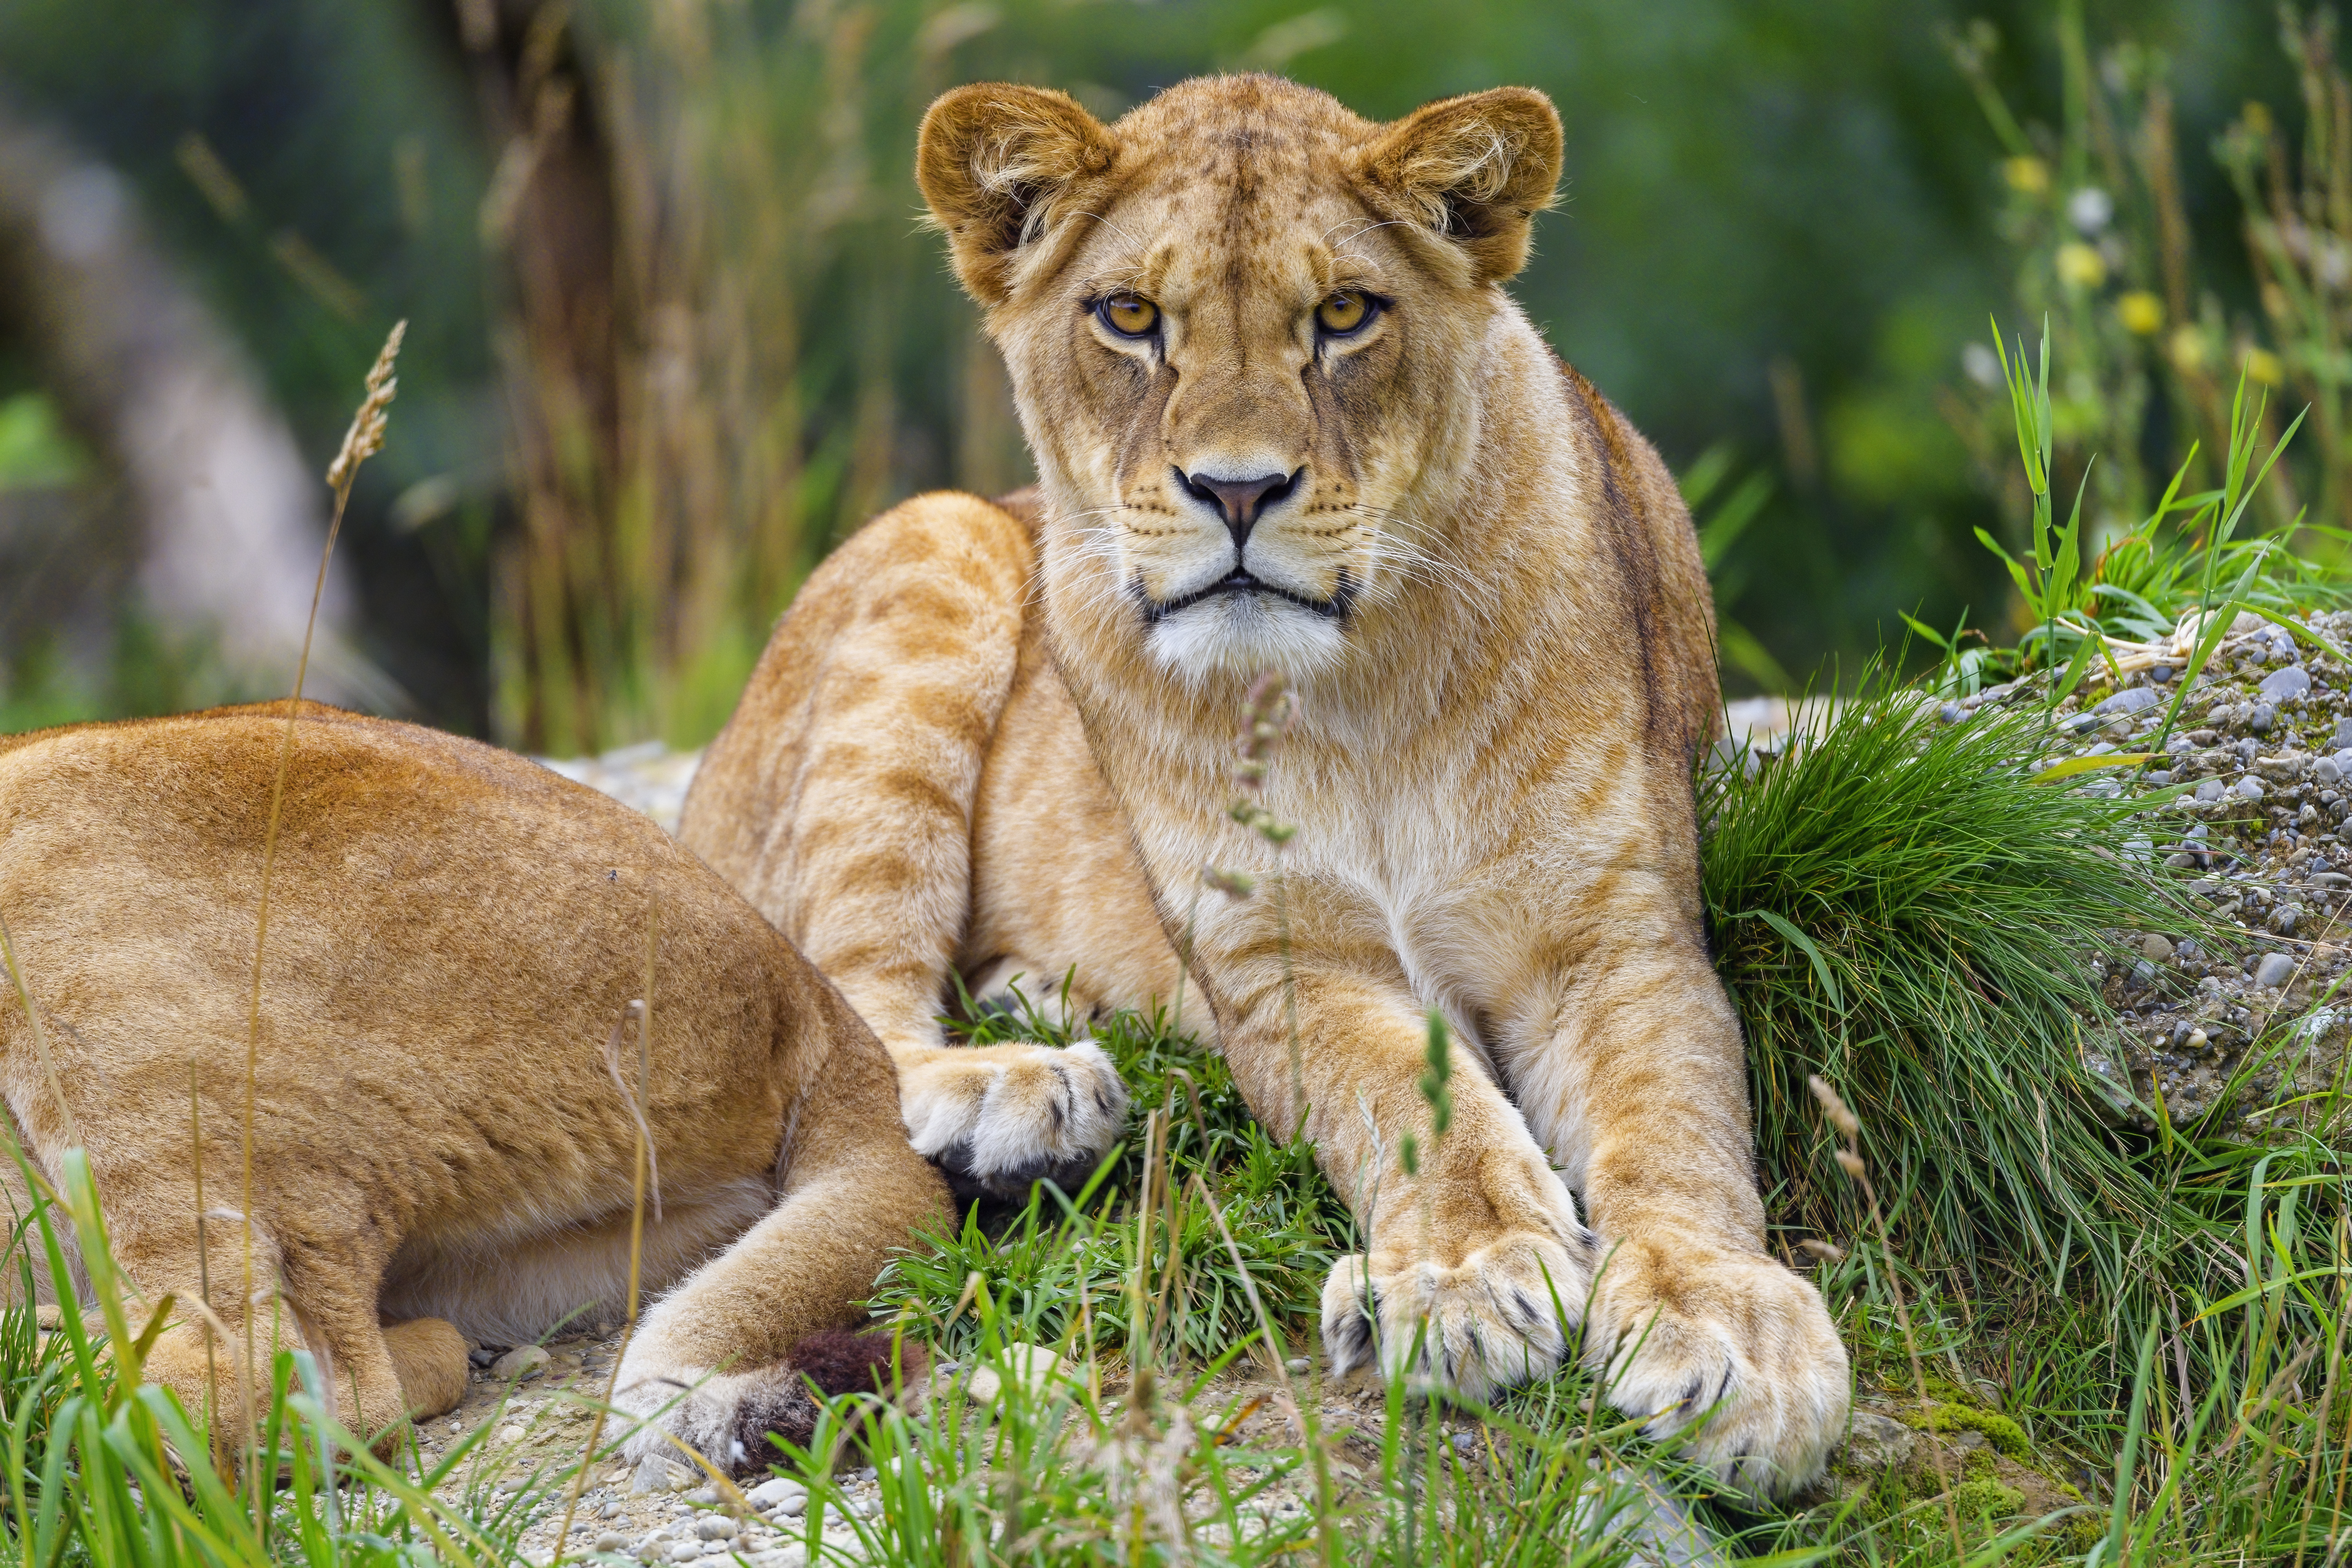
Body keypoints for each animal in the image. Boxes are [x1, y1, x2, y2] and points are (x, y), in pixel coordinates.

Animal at [687, 76, 1853, 1495]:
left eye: (1344, 315)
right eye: (1131, 317)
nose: (1237, 492)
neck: (1350, 700)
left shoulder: (1613, 928)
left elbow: (1678, 1118)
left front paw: (1727, 1325)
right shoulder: (1280, 961)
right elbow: (1411, 1104)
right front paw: (1465, 1278)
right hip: (941, 536)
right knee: (845, 999)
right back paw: (1020, 1092)